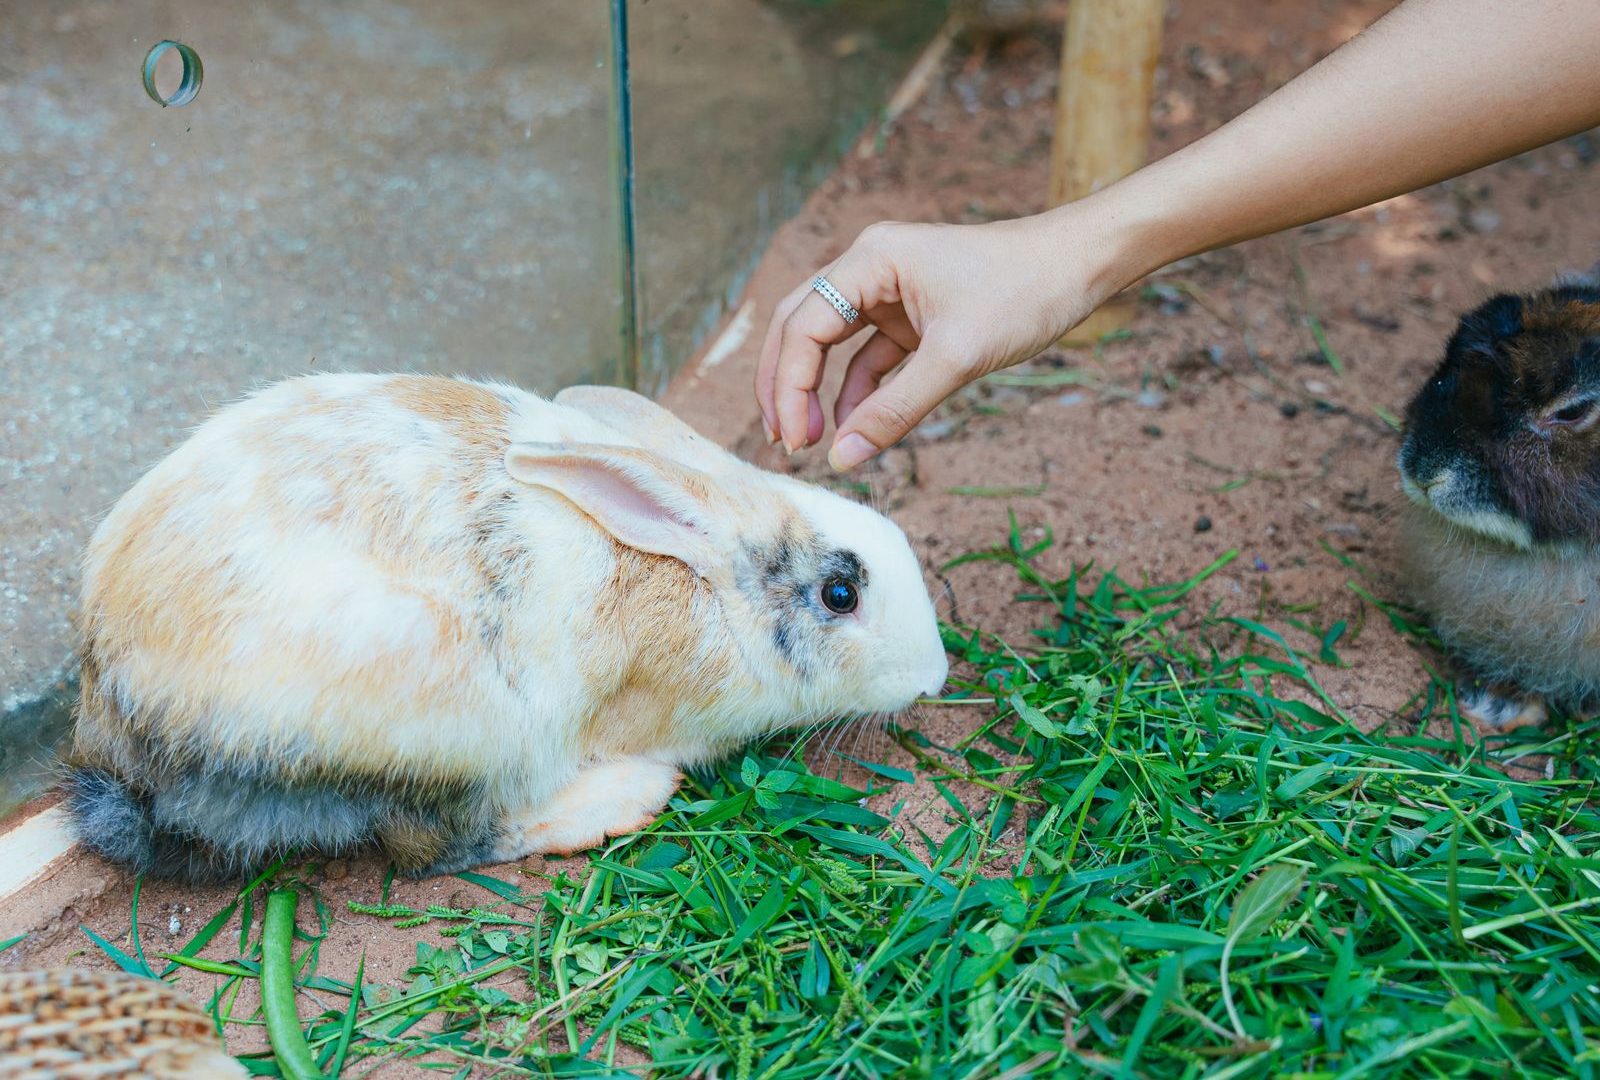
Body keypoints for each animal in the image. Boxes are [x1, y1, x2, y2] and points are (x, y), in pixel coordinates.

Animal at [64, 374, 949, 882]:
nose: (937, 676)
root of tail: (120, 733)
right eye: (840, 593)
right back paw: (621, 800)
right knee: (435, 850)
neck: (713, 589)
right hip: (456, 732)